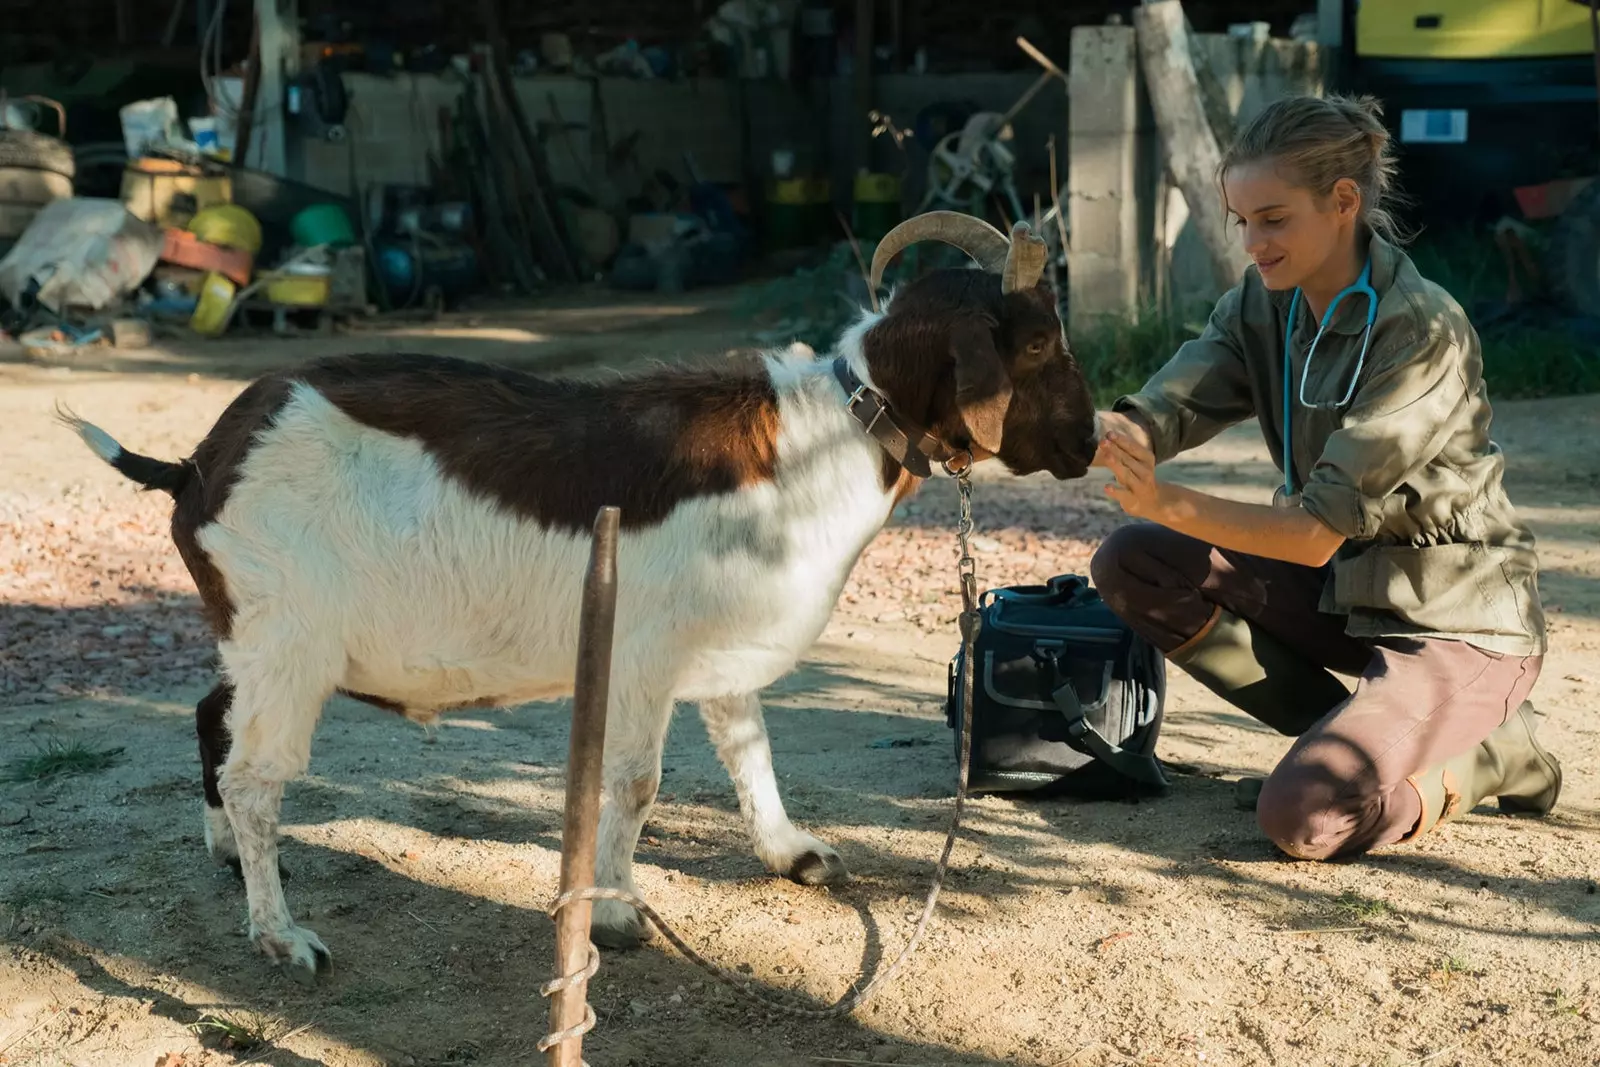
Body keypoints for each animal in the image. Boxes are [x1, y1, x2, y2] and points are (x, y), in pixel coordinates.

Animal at [59, 211, 1100, 985]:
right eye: (1039, 339)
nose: (1091, 440)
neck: (828, 435)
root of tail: (198, 462)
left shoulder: (721, 643)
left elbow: (750, 749)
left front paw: (792, 852)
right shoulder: (643, 655)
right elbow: (636, 784)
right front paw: (616, 916)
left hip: (258, 637)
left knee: (211, 716)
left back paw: (233, 856)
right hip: (290, 643)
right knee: (253, 775)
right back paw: (281, 934)